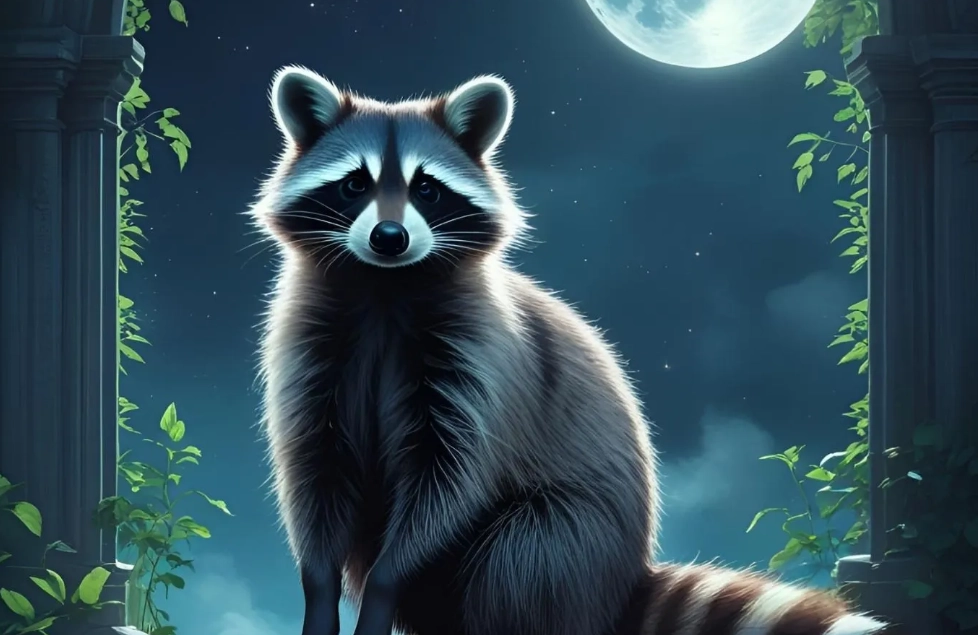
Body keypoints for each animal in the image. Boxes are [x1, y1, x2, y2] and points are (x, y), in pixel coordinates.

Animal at [251, 65, 894, 635]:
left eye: (426, 189)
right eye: (354, 184)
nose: (390, 238)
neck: (384, 287)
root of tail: (624, 585)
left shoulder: (481, 360)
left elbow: (448, 485)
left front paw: (384, 587)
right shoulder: (311, 354)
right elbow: (314, 476)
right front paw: (318, 594)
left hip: (574, 541)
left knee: (516, 562)